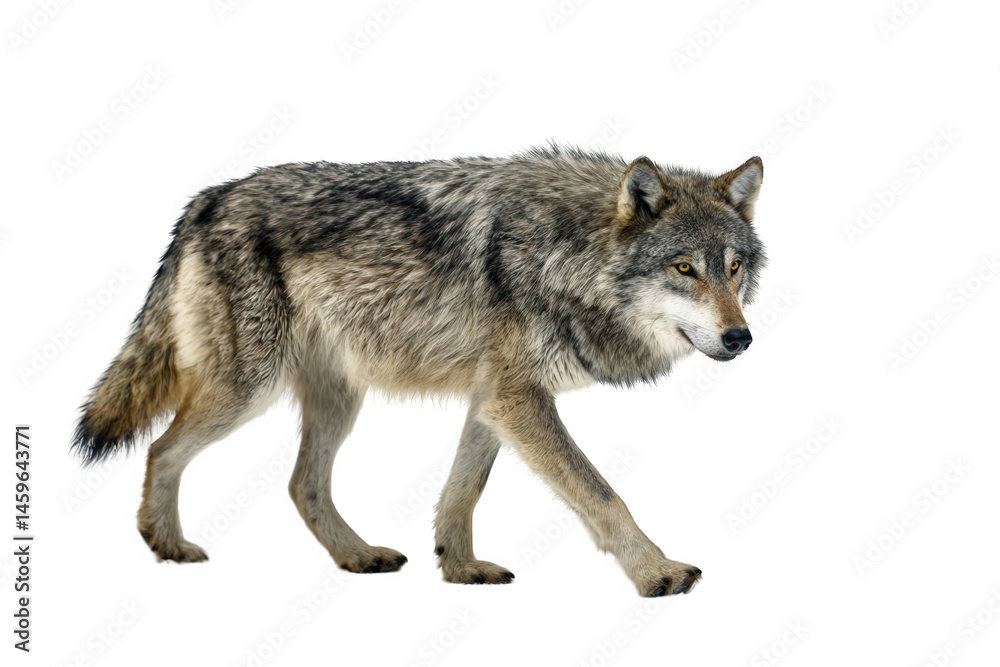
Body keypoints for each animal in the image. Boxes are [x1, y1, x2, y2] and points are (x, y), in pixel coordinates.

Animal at [72, 145, 765, 597]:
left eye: (732, 268)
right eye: (683, 268)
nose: (742, 338)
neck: (566, 252)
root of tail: (205, 198)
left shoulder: (494, 399)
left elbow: (462, 492)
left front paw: (460, 568)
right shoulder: (518, 399)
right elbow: (602, 494)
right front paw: (657, 572)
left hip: (338, 401)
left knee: (301, 484)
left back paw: (357, 556)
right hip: (248, 390)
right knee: (161, 449)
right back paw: (168, 545)